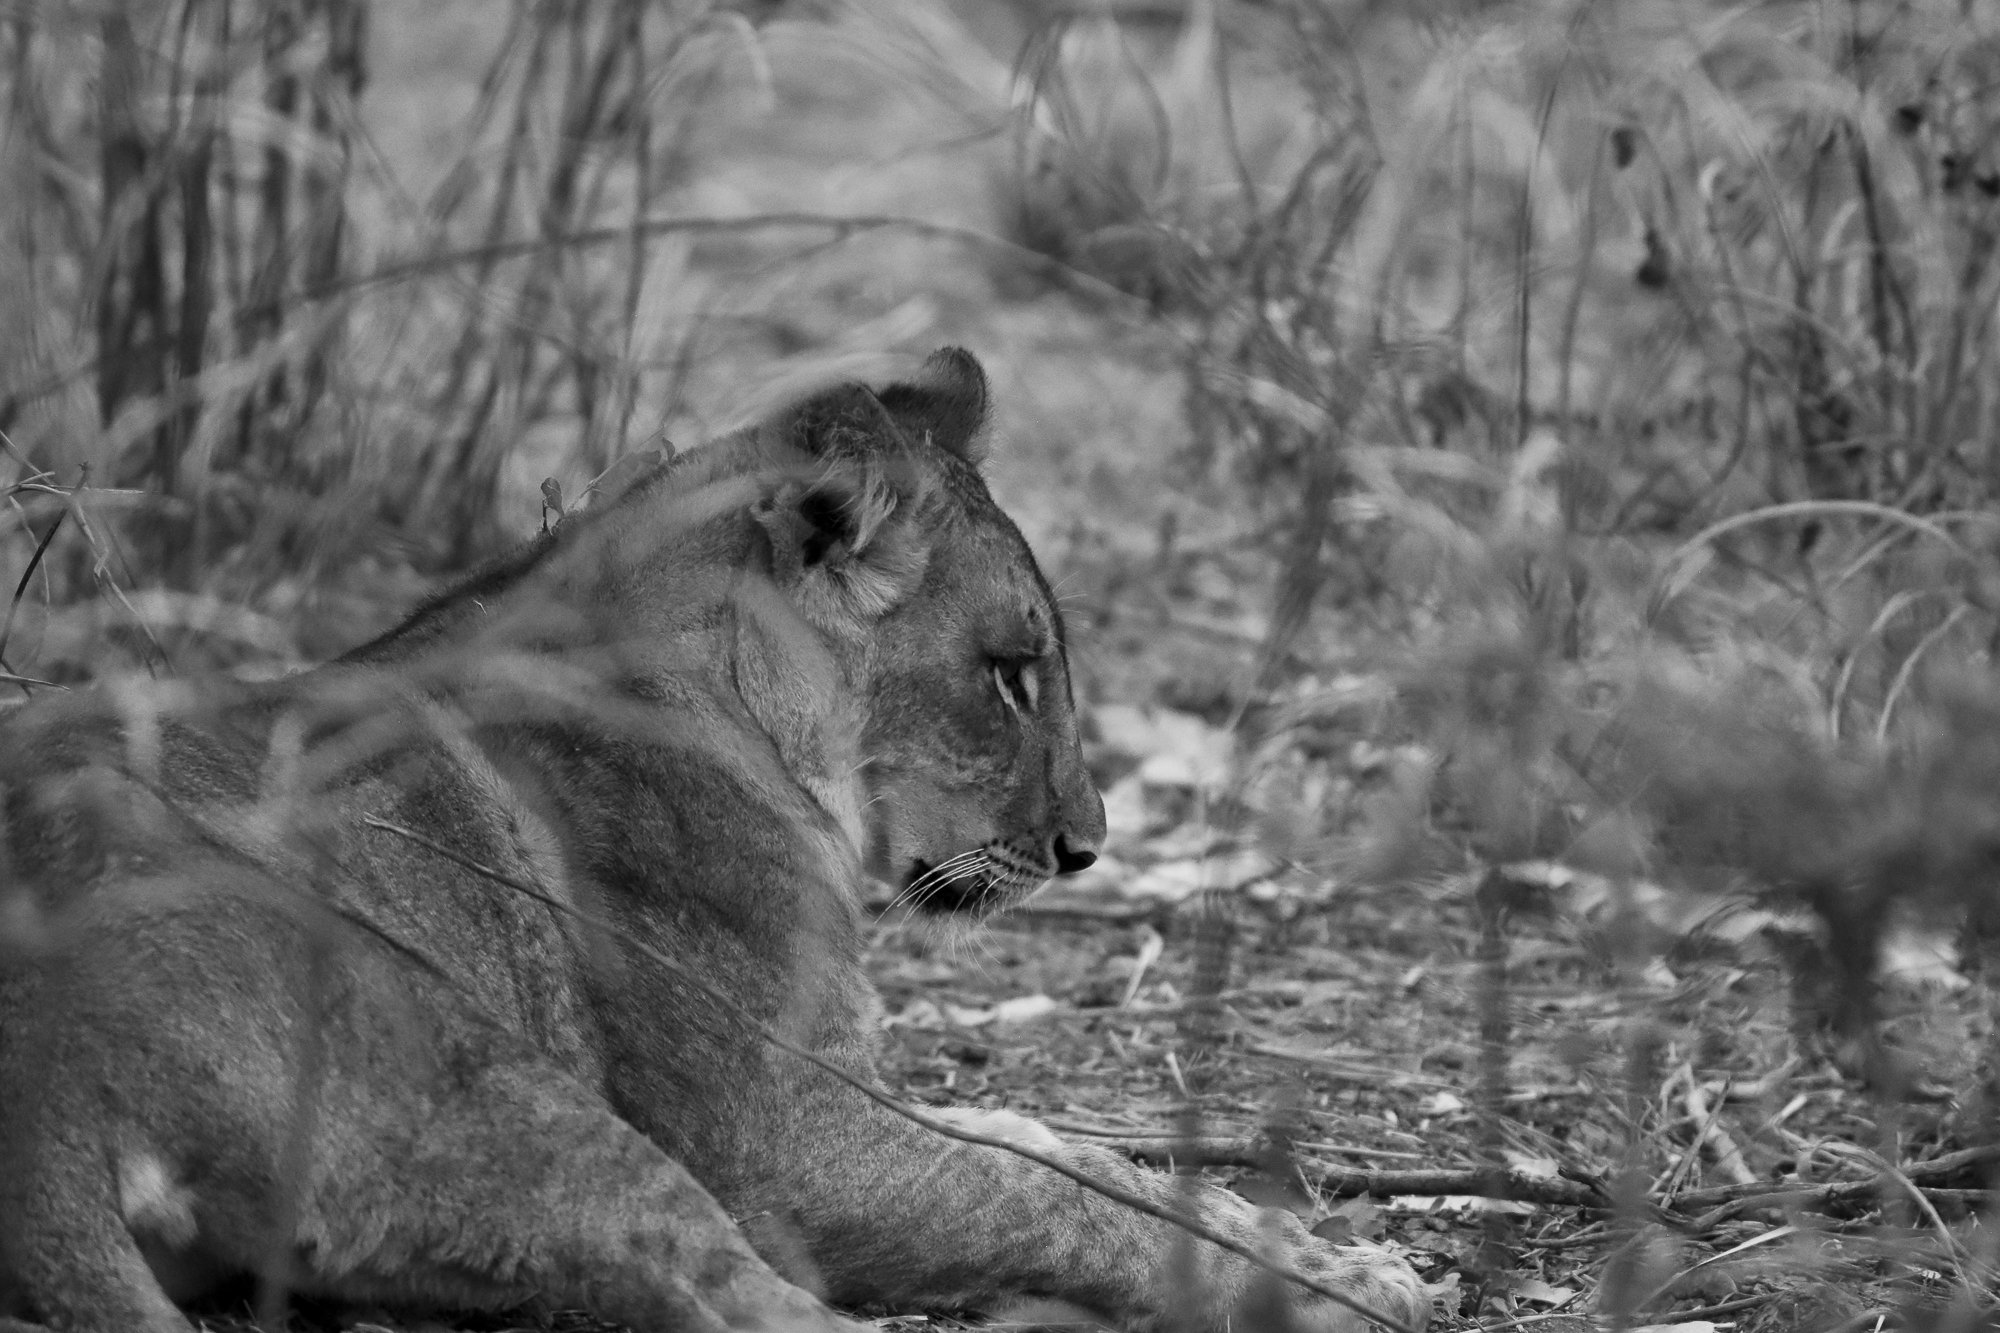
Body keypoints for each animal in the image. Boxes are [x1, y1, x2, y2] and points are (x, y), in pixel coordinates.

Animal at [0, 350, 1428, 1333]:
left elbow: (1055, 1146)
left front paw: (1328, 1250)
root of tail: (42, 1101)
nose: (1089, 847)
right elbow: (1049, 1197)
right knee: (740, 1296)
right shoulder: (784, 1140)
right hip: (480, 1074)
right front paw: (1344, 1287)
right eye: (1011, 673)